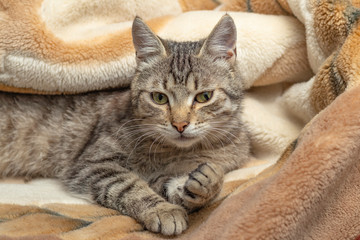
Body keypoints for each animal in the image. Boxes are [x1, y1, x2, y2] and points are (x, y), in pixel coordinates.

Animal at [0, 14, 249, 234]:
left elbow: (177, 183)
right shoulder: (91, 164)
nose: (180, 125)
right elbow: (129, 185)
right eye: (159, 98)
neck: (179, 152)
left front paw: (207, 185)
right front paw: (163, 210)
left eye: (204, 97)